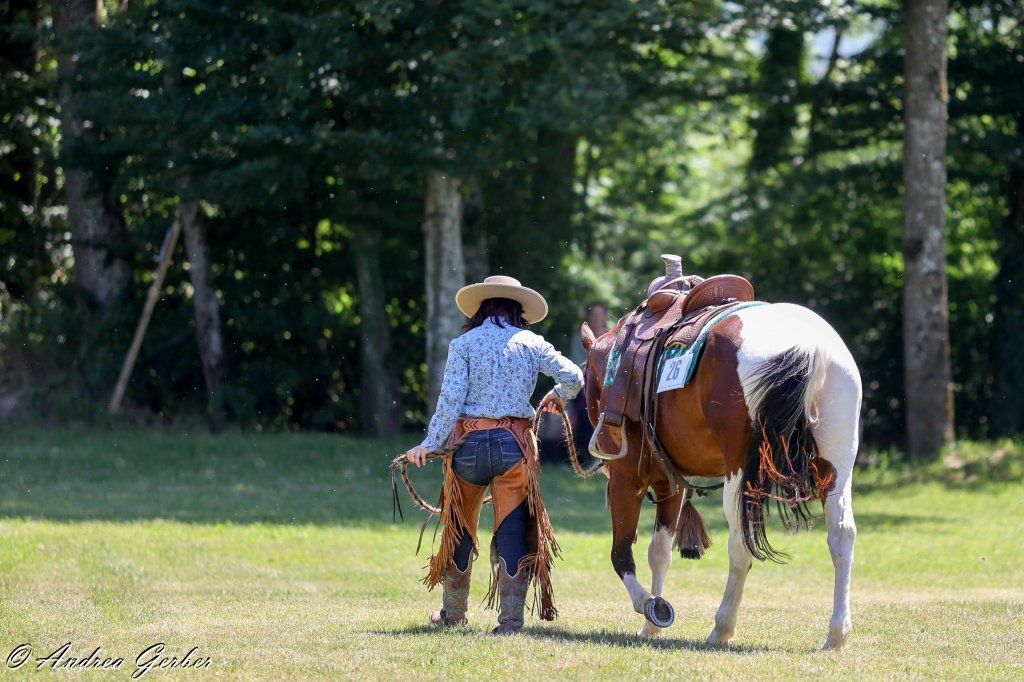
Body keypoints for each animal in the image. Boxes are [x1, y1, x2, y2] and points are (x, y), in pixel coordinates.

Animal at [579, 292, 861, 650]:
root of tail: (808, 347)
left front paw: (648, 605)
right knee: (841, 536)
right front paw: (652, 624)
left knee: (740, 546)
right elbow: (660, 552)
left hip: (738, 476)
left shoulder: (627, 476)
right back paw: (837, 634)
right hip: (836, 467)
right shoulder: (670, 482)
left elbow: (622, 551)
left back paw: (722, 627)